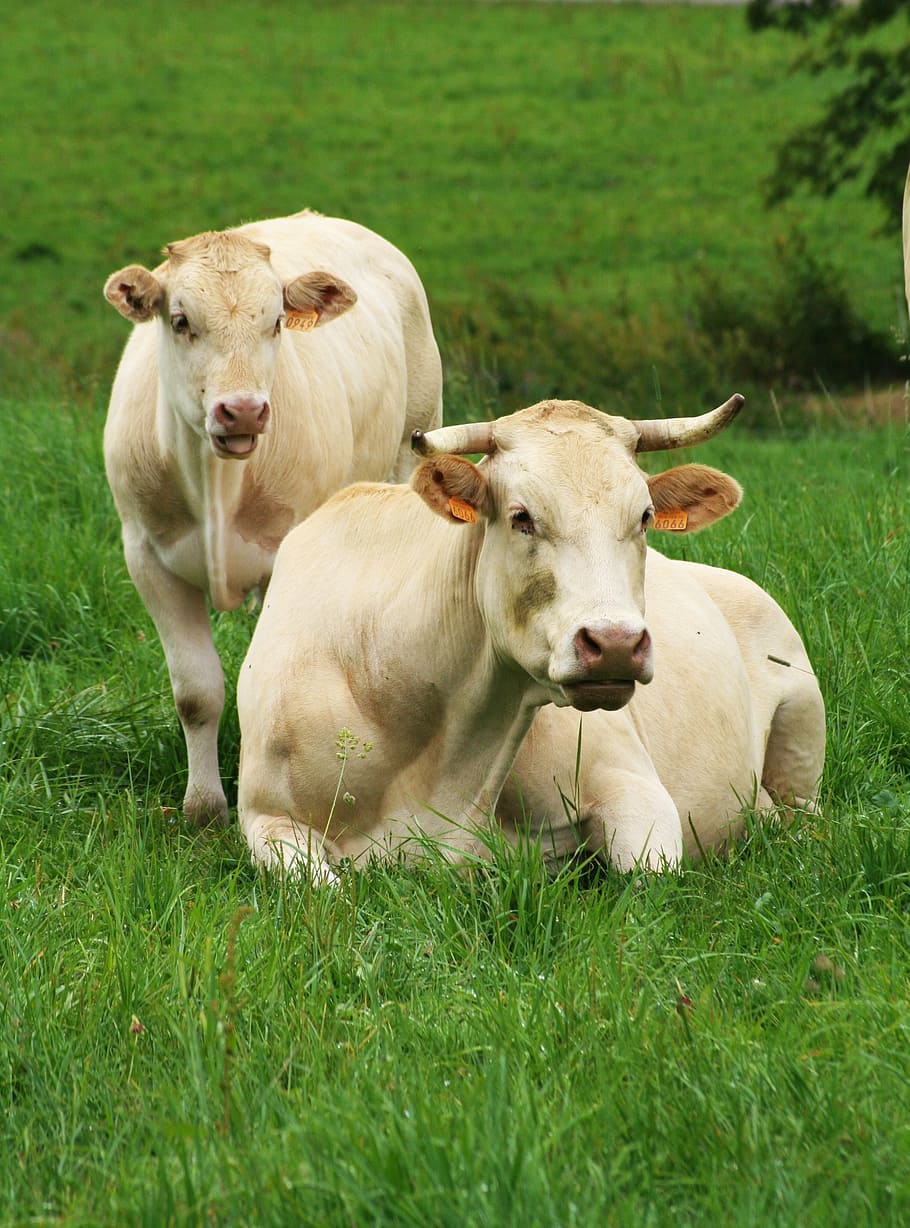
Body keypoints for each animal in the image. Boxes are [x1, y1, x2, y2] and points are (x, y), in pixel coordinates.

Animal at [103, 210, 442, 826]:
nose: (242, 410)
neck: (215, 482)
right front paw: (204, 806)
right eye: (181, 321)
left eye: (278, 322)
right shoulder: (145, 555)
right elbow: (197, 692)